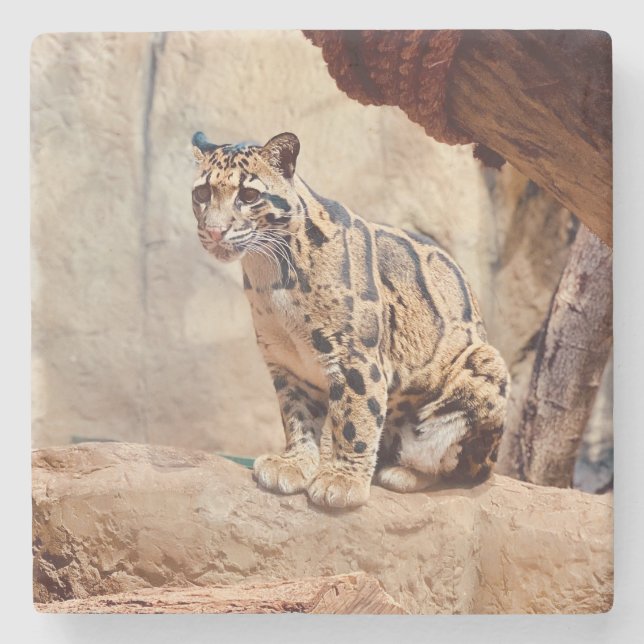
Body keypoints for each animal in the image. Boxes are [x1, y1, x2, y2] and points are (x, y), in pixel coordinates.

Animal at [190, 130, 509, 509]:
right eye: (202, 193)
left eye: (249, 195)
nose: (214, 231)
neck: (269, 272)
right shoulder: (287, 364)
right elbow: (297, 417)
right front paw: (295, 463)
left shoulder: (354, 356)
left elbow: (355, 418)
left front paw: (342, 480)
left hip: (485, 365)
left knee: (458, 466)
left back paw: (403, 472)